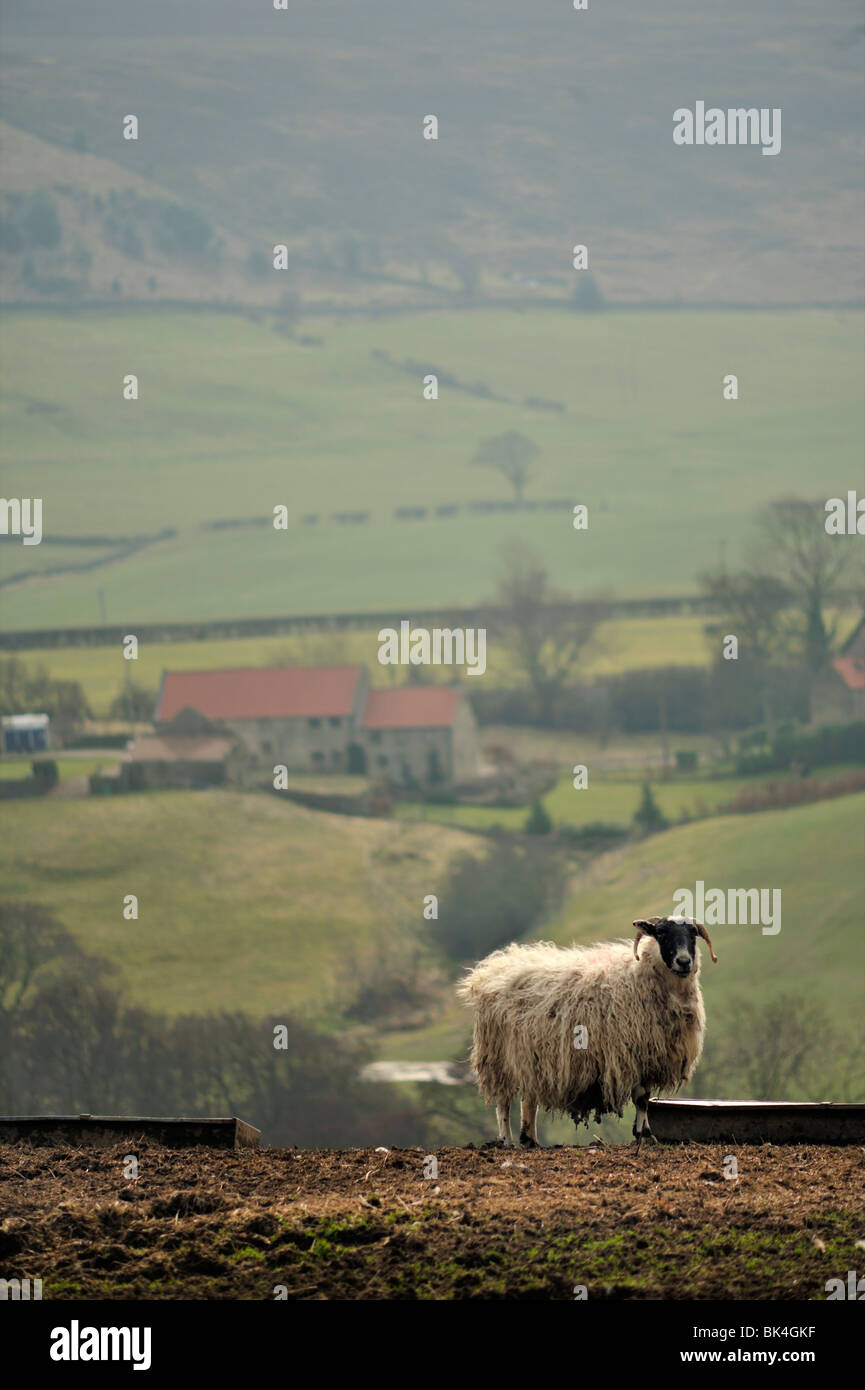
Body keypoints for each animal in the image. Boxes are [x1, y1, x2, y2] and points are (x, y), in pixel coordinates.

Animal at [453, 911, 717, 1150]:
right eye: (661, 933)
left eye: (693, 934)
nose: (684, 961)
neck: (641, 975)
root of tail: (491, 969)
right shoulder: (632, 1053)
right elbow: (642, 1098)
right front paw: (643, 1135)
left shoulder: (650, 1057)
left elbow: (646, 1099)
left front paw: (646, 1134)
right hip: (498, 1056)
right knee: (503, 1101)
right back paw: (506, 1141)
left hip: (531, 1054)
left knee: (529, 1097)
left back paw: (530, 1140)